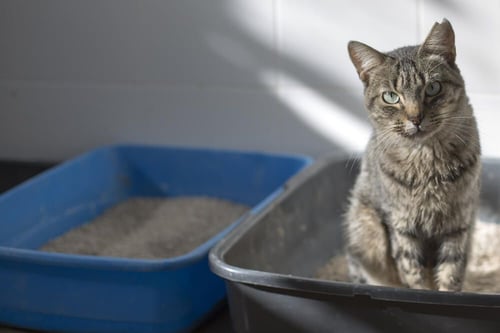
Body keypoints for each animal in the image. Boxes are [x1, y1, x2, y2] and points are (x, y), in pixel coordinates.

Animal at [344, 18, 480, 290]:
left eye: (433, 88)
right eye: (391, 97)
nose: (416, 118)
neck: (427, 161)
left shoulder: (458, 225)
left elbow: (452, 272)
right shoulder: (402, 228)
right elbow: (413, 275)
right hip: (365, 230)